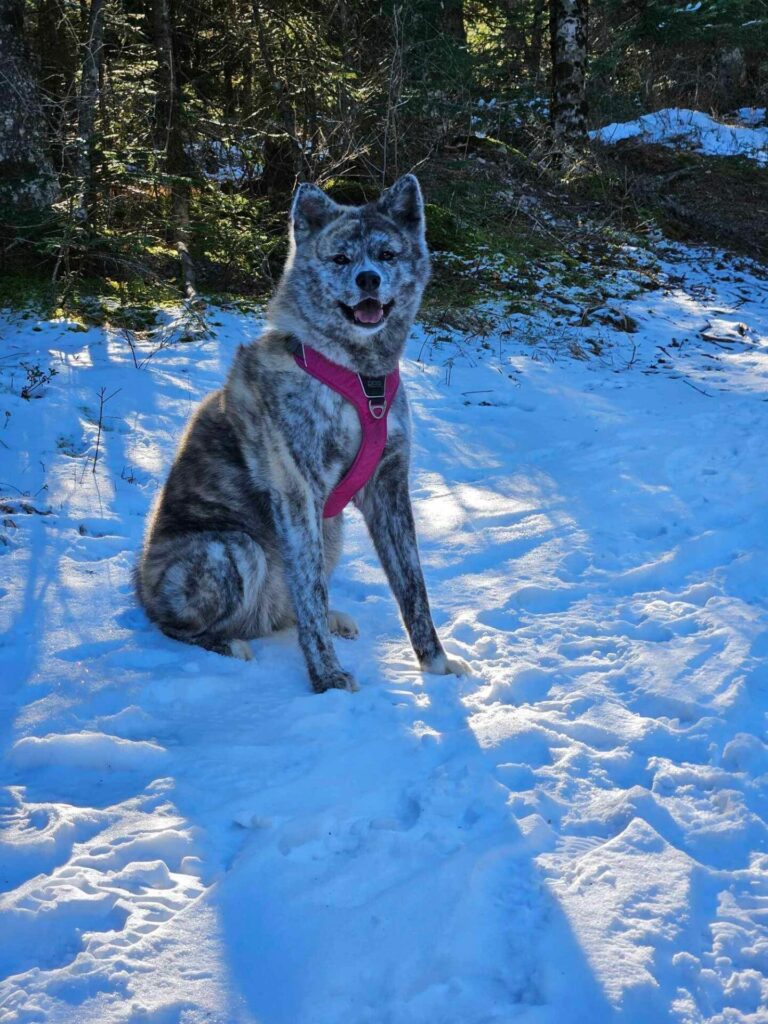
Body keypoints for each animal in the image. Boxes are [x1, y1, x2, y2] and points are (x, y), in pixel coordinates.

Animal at [137, 176, 468, 692]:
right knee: (184, 625)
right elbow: (310, 591)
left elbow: (412, 587)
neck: (358, 377)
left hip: (329, 534)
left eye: (386, 254)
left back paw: (331, 619)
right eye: (341, 259)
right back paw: (229, 644)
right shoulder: (299, 494)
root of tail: (140, 586)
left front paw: (434, 661)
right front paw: (328, 678)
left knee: (291, 604)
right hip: (230, 549)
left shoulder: (389, 487)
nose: (368, 280)